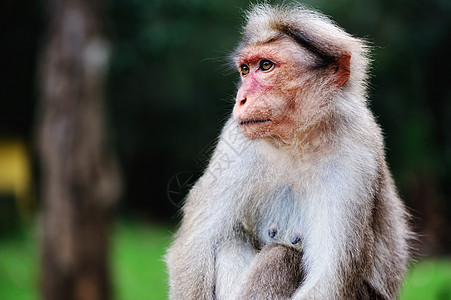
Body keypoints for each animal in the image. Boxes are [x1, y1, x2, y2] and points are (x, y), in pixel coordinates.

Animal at [167, 2, 414, 300]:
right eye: (245, 69)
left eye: (266, 66)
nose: (241, 98)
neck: (298, 142)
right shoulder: (237, 139)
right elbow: (196, 246)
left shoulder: (355, 157)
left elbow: (328, 279)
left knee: (282, 255)